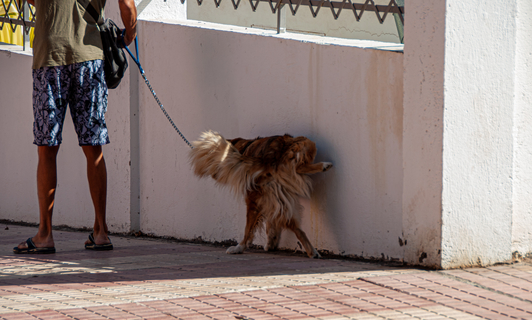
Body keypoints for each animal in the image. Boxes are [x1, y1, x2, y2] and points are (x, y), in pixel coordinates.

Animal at [188, 130, 332, 258]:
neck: (244, 147)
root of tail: (269, 158)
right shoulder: (274, 197)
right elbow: (271, 222)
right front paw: (271, 241)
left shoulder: (259, 199)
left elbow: (254, 227)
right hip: (304, 146)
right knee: (296, 227)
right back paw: (312, 252)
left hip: (304, 144)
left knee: (299, 168)